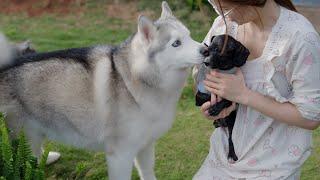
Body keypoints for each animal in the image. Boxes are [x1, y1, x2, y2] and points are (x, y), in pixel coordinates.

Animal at [195, 34, 250, 162]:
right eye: (208, 50)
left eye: (221, 52)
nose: (205, 62)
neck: (222, 71)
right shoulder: (199, 95)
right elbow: (206, 97)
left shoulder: (234, 94)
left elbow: (226, 99)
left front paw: (216, 108)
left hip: (231, 124)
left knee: (231, 139)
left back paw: (231, 153)